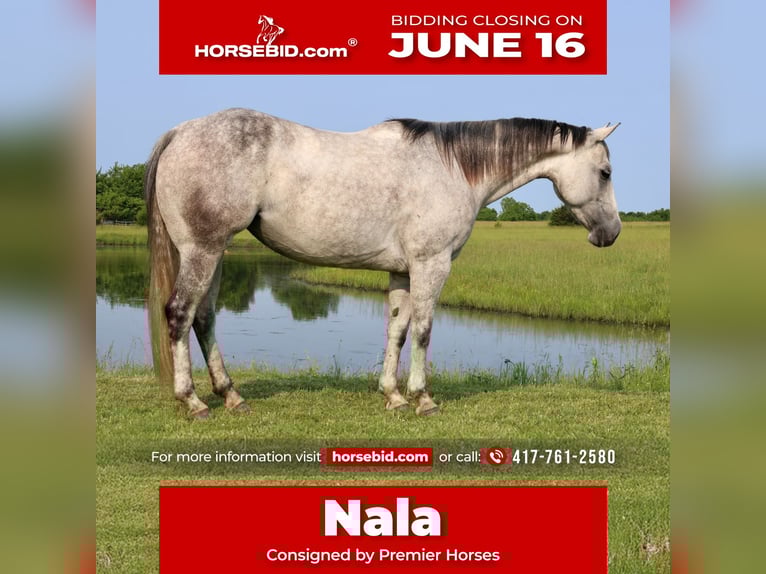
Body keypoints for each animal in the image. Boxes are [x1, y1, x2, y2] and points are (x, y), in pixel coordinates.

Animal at [145, 108, 621, 419]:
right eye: (606, 172)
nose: (611, 232)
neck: (453, 168)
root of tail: (179, 132)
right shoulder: (432, 265)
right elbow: (424, 331)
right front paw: (423, 399)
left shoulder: (402, 271)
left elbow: (397, 329)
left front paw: (392, 395)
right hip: (203, 251)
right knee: (180, 314)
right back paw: (193, 402)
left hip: (213, 253)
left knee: (204, 318)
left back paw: (231, 395)